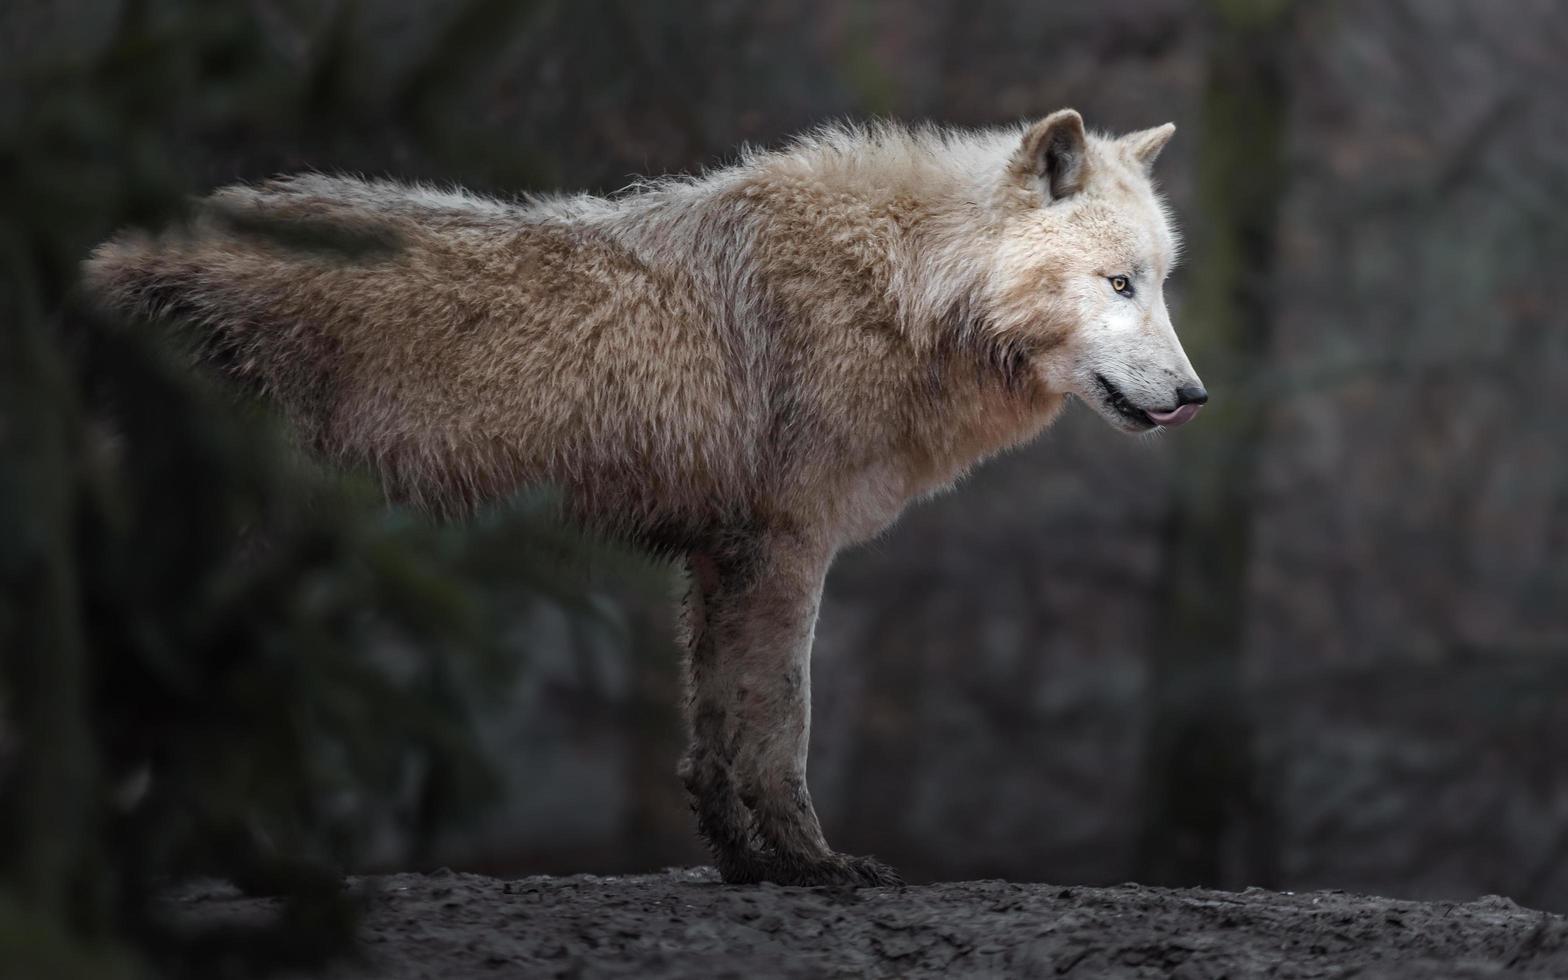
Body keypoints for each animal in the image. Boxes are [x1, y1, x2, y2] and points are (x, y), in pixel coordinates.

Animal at [85, 108, 1204, 884]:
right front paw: (813, 865)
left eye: (1159, 281)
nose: (1195, 396)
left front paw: (751, 866)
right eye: (1117, 284)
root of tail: (110, 258)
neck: (901, 287)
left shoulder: (722, 556)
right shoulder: (787, 547)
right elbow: (781, 724)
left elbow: (712, 738)